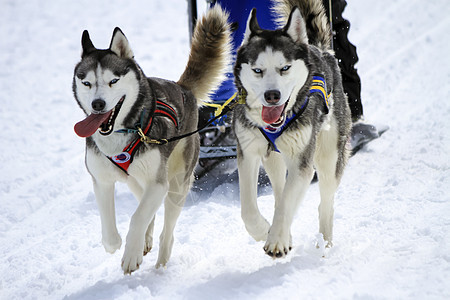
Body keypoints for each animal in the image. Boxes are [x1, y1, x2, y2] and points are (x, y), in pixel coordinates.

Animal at [73, 5, 232, 274]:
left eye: (113, 80)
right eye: (87, 83)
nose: (98, 104)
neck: (121, 134)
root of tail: (183, 89)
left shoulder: (158, 184)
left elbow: (137, 217)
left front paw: (130, 254)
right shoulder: (102, 180)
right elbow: (110, 228)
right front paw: (119, 244)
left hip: (177, 184)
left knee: (167, 229)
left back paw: (161, 260)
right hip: (138, 182)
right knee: (149, 210)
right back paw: (145, 240)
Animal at [234, 0, 354, 258]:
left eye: (285, 68)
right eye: (257, 70)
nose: (272, 95)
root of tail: (320, 50)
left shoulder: (302, 162)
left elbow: (288, 202)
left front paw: (276, 240)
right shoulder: (248, 152)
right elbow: (248, 209)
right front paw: (264, 231)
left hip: (328, 157)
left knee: (324, 203)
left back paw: (324, 243)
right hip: (273, 159)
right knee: (280, 192)